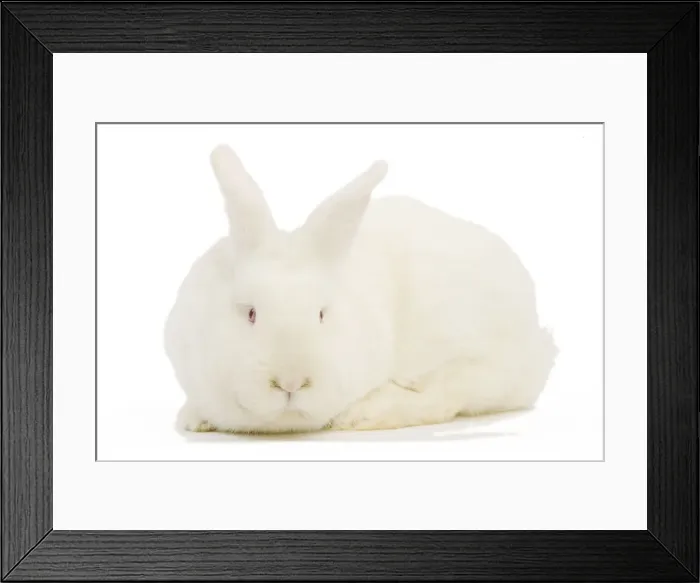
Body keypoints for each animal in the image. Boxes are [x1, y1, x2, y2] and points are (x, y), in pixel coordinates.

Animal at [164, 145, 558, 434]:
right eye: (250, 313)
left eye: (322, 314)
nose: (291, 381)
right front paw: (193, 418)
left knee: (444, 396)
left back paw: (363, 415)